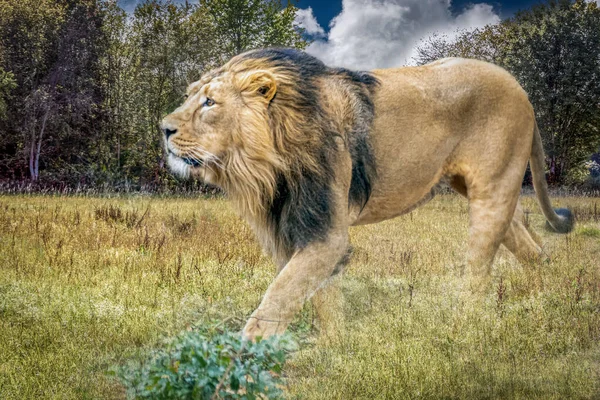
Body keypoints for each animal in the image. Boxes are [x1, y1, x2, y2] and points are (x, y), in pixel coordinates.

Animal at [162, 47, 576, 340]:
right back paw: (541, 302)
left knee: (478, 270)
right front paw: (333, 348)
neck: (264, 165)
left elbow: (278, 298)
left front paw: (241, 361)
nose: (163, 128)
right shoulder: (288, 231)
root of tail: (520, 88)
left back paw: (464, 329)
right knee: (529, 246)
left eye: (210, 102)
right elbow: (317, 297)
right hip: (481, 190)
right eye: (191, 97)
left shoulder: (326, 231)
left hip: (492, 190)